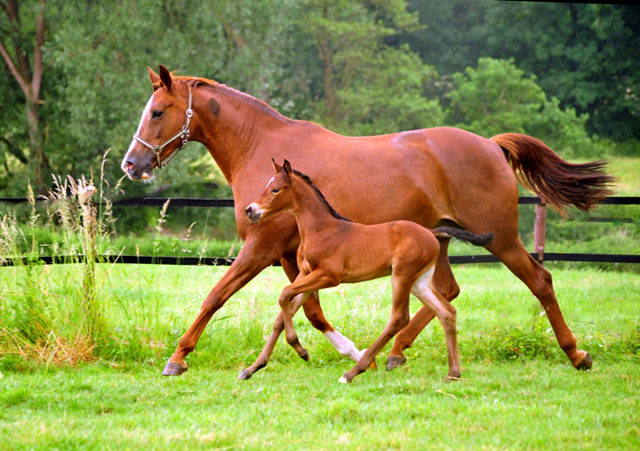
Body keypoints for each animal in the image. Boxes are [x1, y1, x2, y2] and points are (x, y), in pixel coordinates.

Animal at [246, 161, 496, 384]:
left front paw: (300, 349)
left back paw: (353, 372)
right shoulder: (306, 275)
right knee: (447, 312)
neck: (321, 230)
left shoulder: (328, 276)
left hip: (402, 276)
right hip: (420, 282)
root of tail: (431, 233)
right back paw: (453, 373)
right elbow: (282, 313)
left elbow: (284, 294)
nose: (250, 210)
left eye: (275, 189)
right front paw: (253, 368)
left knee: (399, 318)